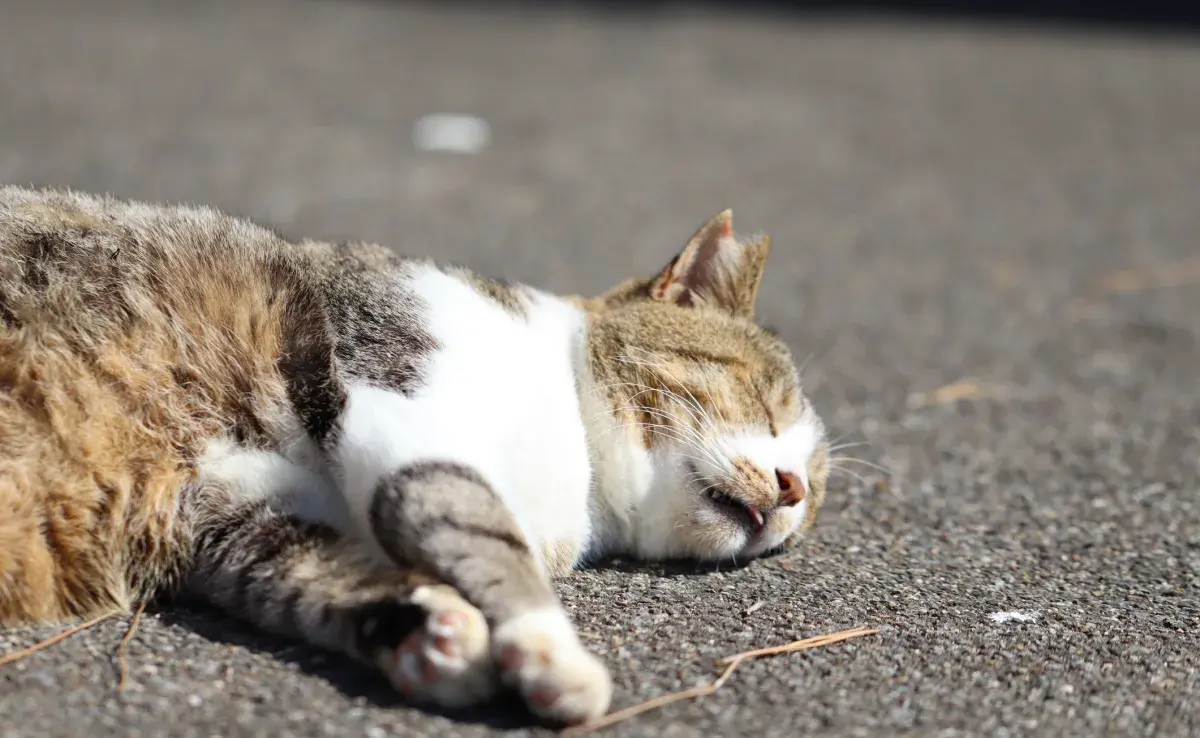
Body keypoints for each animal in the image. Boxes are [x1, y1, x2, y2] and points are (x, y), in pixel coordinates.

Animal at [0, 186, 825, 729]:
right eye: (766, 400)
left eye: (816, 492)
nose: (790, 489)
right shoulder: (401, 397)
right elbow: (483, 534)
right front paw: (551, 654)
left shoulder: (229, 508)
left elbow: (314, 572)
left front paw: (428, 632)